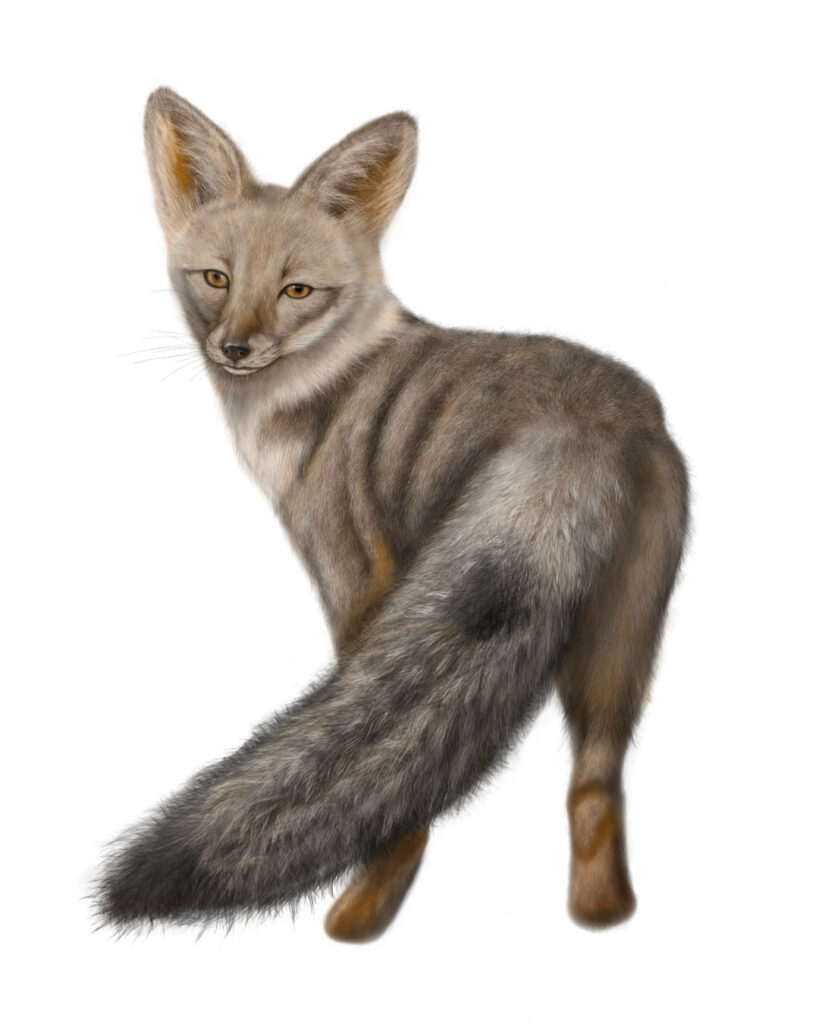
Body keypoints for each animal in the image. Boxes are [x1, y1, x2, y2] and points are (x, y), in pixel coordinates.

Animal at [95, 87, 689, 942]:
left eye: (297, 291)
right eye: (215, 278)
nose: (235, 349)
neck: (319, 389)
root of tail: (589, 425)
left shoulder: (353, 573)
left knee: (418, 806)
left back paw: (361, 913)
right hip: (619, 644)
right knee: (594, 788)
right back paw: (600, 915)